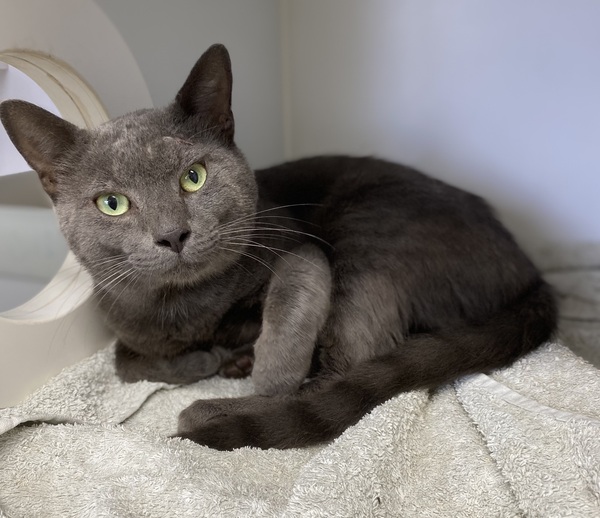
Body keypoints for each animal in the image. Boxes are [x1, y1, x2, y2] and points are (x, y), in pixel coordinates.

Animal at [0, 44, 557, 450]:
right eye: (112, 203)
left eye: (194, 177)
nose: (172, 234)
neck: (192, 309)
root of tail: (530, 273)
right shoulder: (124, 319)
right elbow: (124, 361)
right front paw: (207, 361)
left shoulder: (301, 252)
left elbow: (288, 318)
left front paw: (257, 371)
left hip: (368, 228)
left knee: (353, 368)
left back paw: (213, 412)